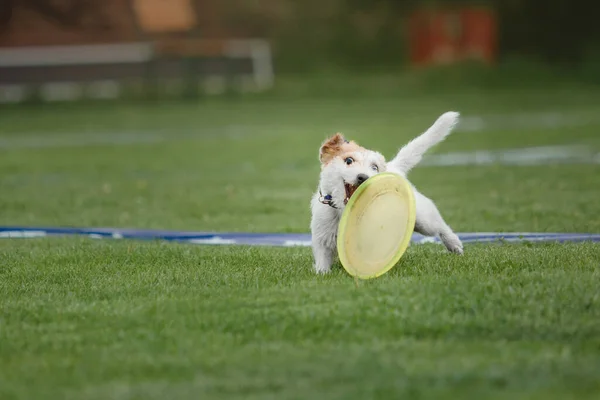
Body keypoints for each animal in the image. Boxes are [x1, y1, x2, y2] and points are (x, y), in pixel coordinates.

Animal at [312, 112, 462, 276]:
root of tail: (393, 167)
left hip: (423, 220)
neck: (344, 212)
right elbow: (323, 258)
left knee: (440, 226)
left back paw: (455, 245)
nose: (363, 177)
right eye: (349, 160)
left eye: (374, 167)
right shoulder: (322, 237)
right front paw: (322, 273)